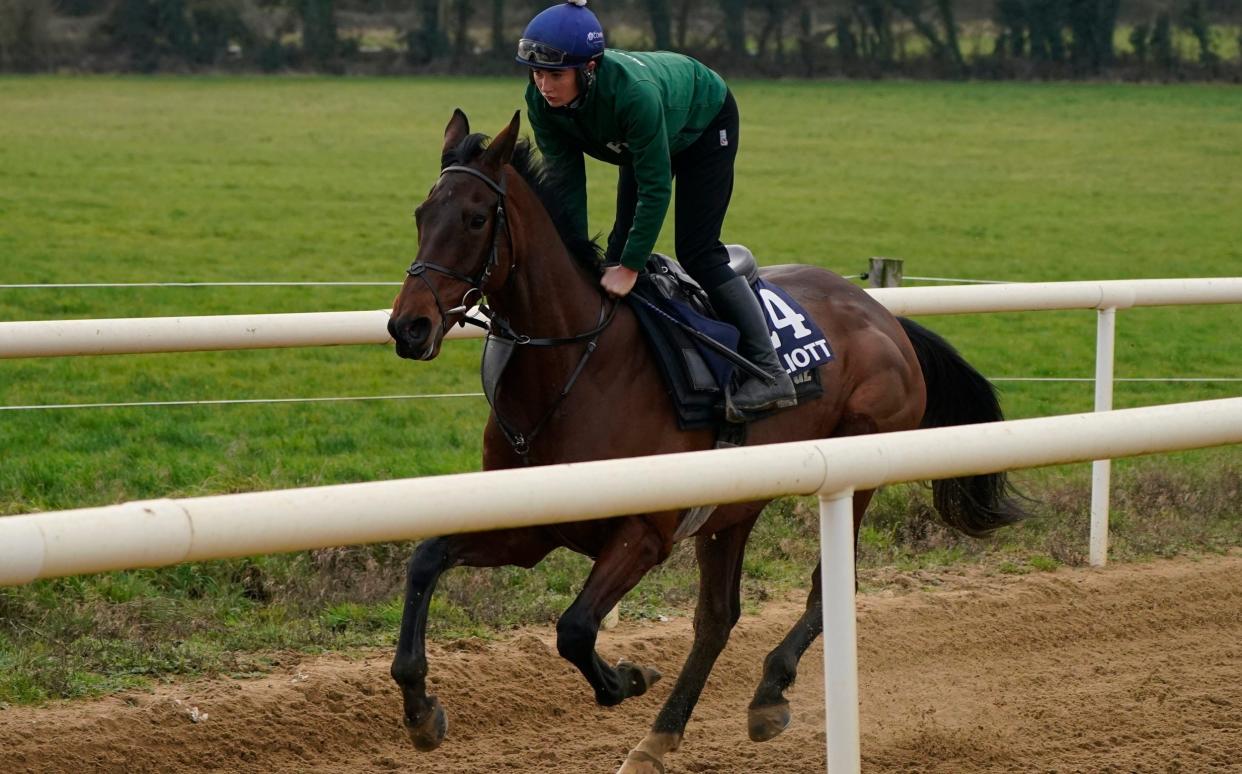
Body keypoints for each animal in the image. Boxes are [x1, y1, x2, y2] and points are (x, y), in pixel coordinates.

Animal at [385, 110, 1018, 774]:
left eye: (476, 218)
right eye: (421, 215)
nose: (409, 326)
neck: (574, 367)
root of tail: (884, 316)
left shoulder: (645, 531)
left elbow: (576, 628)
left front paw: (629, 677)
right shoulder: (530, 526)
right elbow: (426, 558)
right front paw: (421, 712)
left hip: (858, 464)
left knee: (825, 588)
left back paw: (768, 692)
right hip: (730, 507)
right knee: (717, 617)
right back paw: (659, 738)